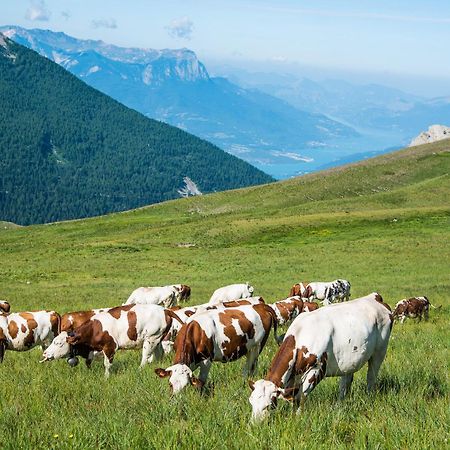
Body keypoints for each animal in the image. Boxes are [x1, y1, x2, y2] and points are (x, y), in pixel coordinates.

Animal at [40, 304, 183, 378]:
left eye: (58, 343)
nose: (45, 353)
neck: (95, 329)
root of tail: (165, 309)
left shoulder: (110, 347)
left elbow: (107, 364)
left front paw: (106, 377)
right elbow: (88, 362)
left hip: (151, 338)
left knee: (145, 356)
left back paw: (140, 369)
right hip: (157, 338)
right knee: (158, 353)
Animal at [248, 292, 392, 422]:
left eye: (268, 405)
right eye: (251, 402)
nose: (254, 425)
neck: (300, 336)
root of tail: (374, 297)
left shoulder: (317, 369)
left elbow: (302, 396)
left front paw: (297, 417)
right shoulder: (292, 376)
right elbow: (294, 396)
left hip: (380, 351)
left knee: (371, 377)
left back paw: (368, 397)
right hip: (349, 359)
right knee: (346, 381)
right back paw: (340, 403)